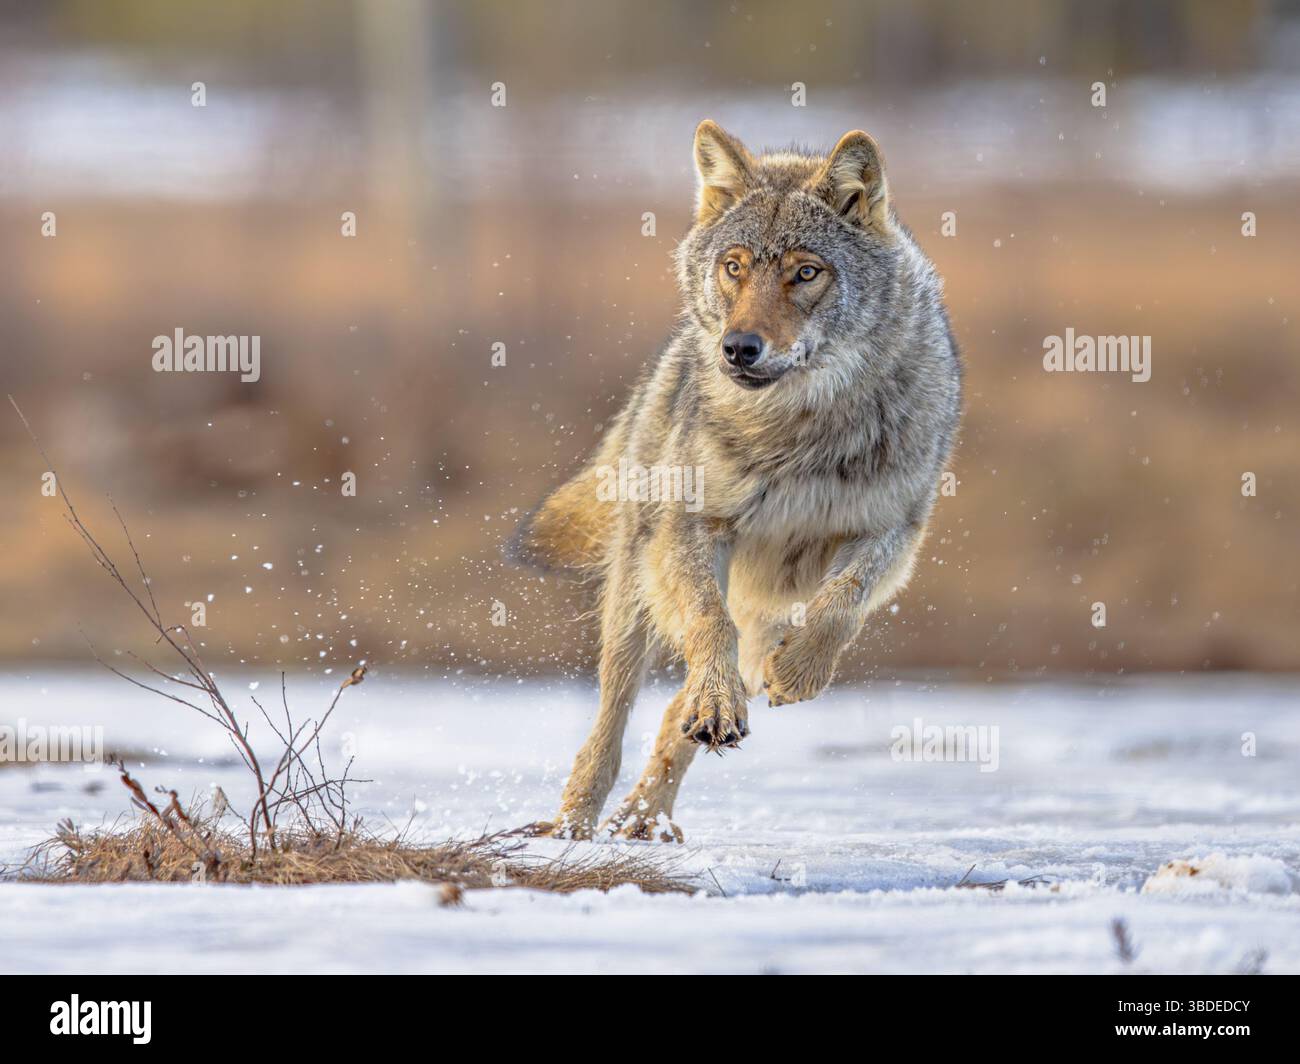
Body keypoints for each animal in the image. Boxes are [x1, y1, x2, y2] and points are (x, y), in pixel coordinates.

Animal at [509, 121, 962, 841]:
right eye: (735, 266)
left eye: (806, 272)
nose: (739, 348)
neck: (797, 431)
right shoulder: (693, 527)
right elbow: (706, 624)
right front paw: (718, 704)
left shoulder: (892, 531)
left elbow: (842, 604)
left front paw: (801, 673)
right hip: (634, 593)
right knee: (614, 718)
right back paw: (578, 825)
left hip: (759, 616)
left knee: (681, 711)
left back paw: (647, 817)